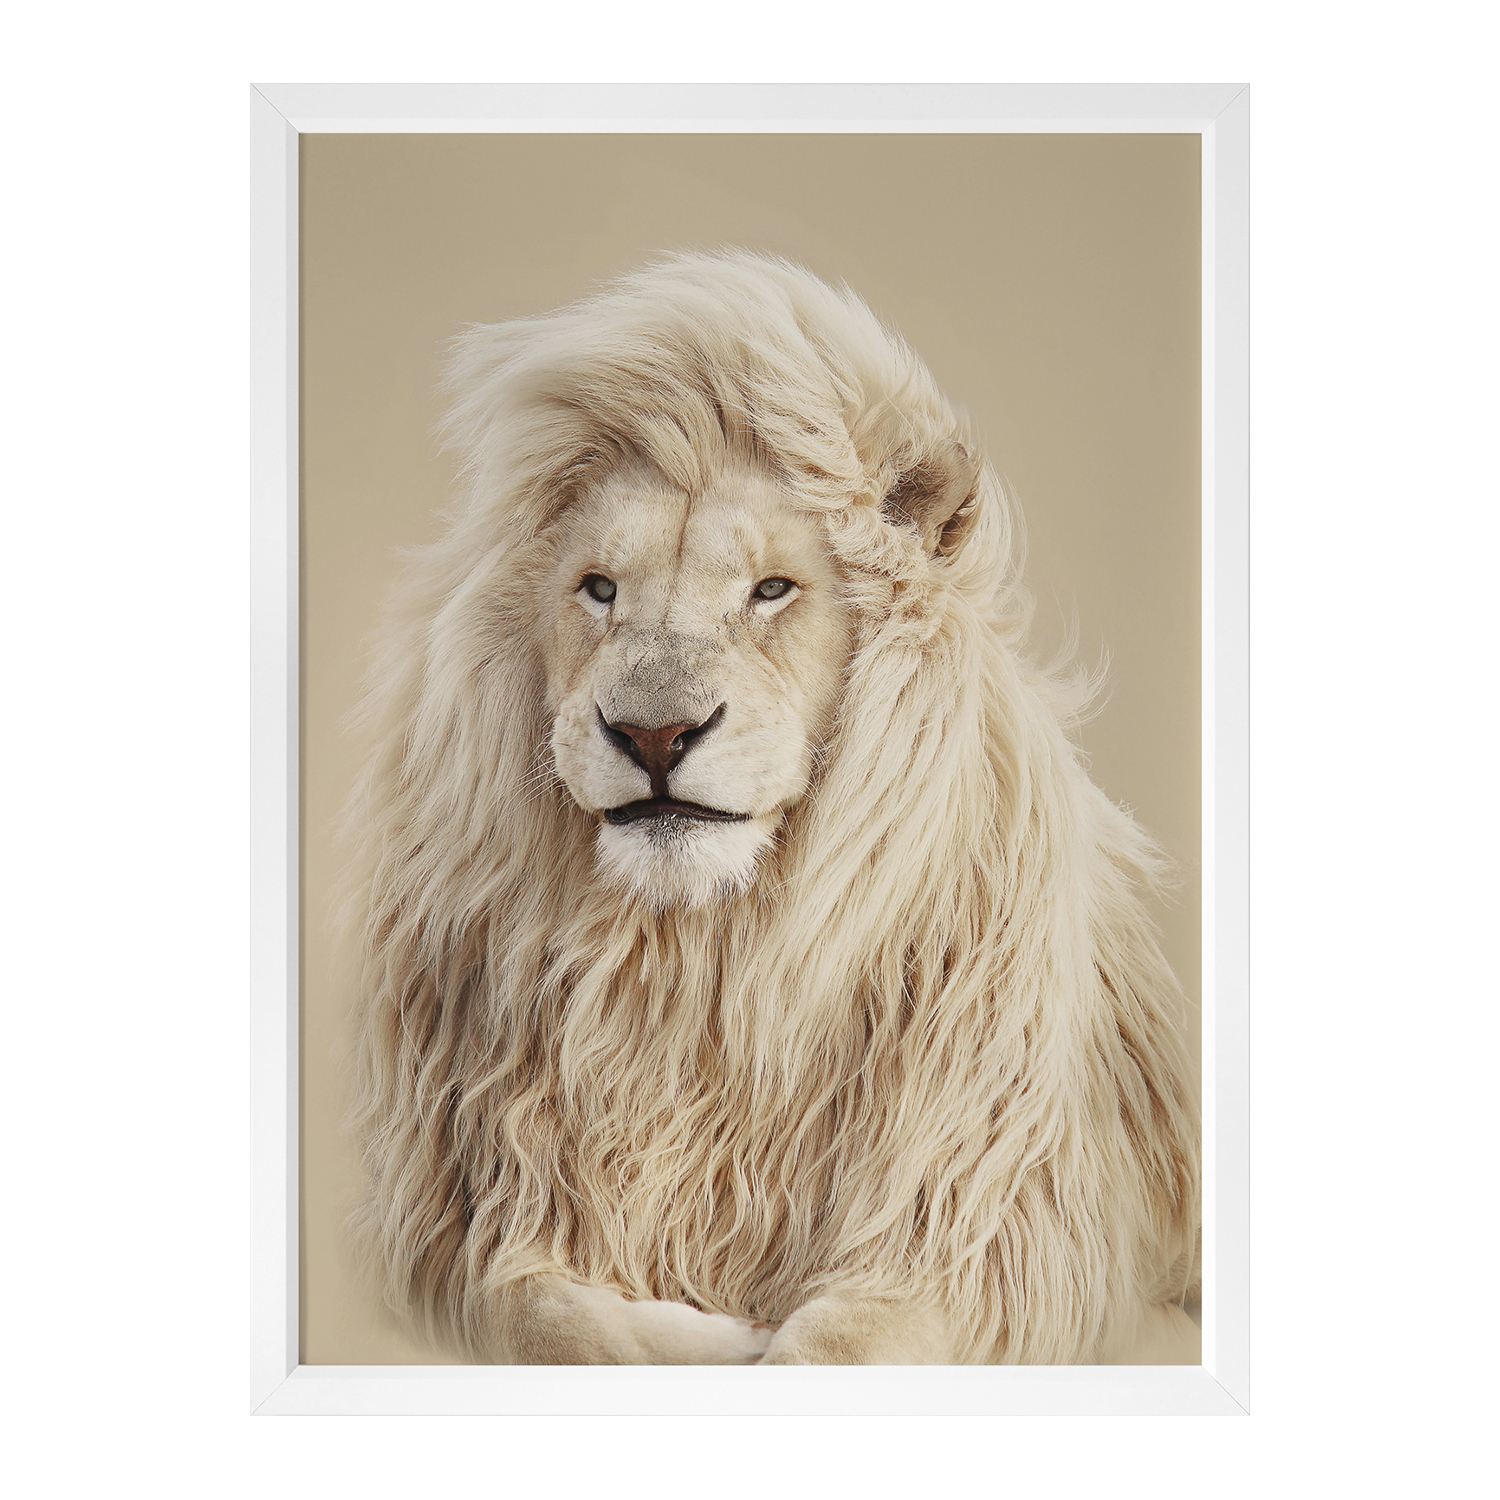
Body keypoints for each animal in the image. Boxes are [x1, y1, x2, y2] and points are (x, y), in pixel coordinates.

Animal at [347, 249, 1201, 1365]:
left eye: (772, 590)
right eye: (599, 588)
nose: (653, 734)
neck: (702, 970)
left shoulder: (984, 1238)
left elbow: (827, 1349)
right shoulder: (470, 1218)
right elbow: (549, 1317)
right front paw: (703, 1339)